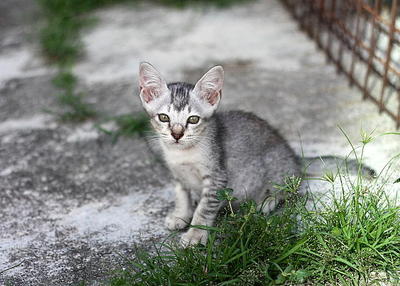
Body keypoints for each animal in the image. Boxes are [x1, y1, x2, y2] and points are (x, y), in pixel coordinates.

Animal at [138, 62, 300, 246]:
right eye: (164, 117)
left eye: (193, 119)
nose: (177, 134)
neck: (183, 154)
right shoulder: (178, 174)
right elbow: (181, 195)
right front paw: (180, 215)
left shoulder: (217, 176)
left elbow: (204, 209)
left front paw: (195, 234)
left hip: (278, 165)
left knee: (286, 189)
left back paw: (267, 202)